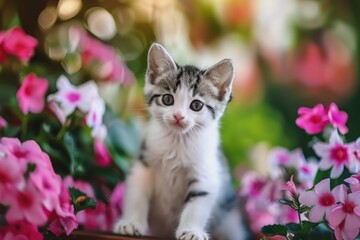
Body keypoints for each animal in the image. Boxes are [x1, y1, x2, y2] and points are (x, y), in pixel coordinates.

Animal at [113, 43, 248, 240]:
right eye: (167, 99)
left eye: (196, 105)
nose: (178, 116)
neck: (177, 142)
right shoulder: (143, 165)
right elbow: (137, 195)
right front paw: (131, 222)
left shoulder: (206, 173)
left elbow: (196, 205)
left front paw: (191, 231)